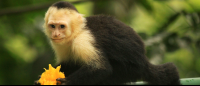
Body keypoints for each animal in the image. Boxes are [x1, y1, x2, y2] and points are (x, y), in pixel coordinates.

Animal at [34, 1, 181, 85]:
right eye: (53, 26)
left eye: (62, 27)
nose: (56, 34)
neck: (77, 32)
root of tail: (144, 61)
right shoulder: (60, 43)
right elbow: (67, 63)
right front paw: (42, 78)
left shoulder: (84, 40)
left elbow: (101, 69)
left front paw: (66, 82)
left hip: (128, 70)